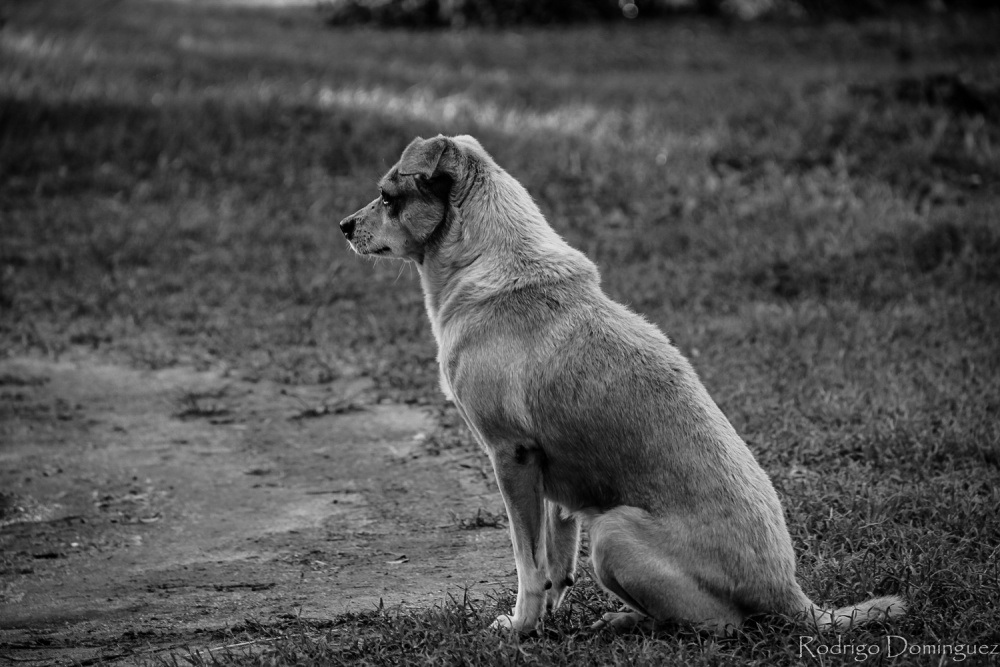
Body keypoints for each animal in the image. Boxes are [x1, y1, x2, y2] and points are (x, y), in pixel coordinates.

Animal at [338, 136, 908, 636]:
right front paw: (544, 623)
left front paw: (519, 628)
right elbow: (555, 563)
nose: (343, 226)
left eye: (388, 197)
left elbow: (528, 562)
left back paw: (628, 621)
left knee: (721, 626)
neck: (486, 260)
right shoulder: (548, 473)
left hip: (612, 532)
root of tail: (791, 594)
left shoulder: (510, 456)